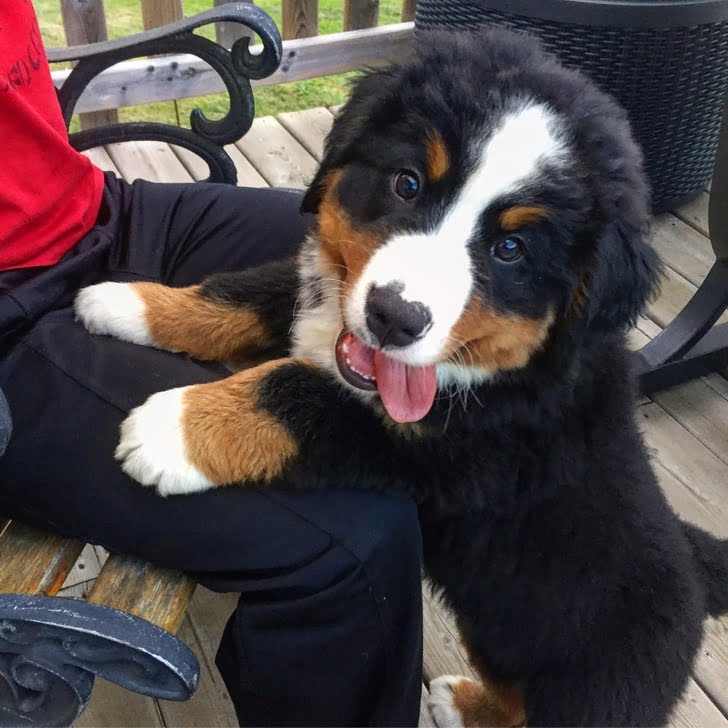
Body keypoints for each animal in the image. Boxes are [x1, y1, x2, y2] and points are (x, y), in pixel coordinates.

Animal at [75, 28, 728, 728]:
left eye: (511, 250)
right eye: (407, 184)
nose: (395, 317)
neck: (496, 376)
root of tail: (695, 582)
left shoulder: (440, 454)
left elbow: (297, 392)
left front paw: (172, 430)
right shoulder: (322, 298)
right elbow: (242, 293)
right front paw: (128, 303)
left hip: (587, 695)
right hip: (493, 631)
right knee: (509, 690)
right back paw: (466, 702)